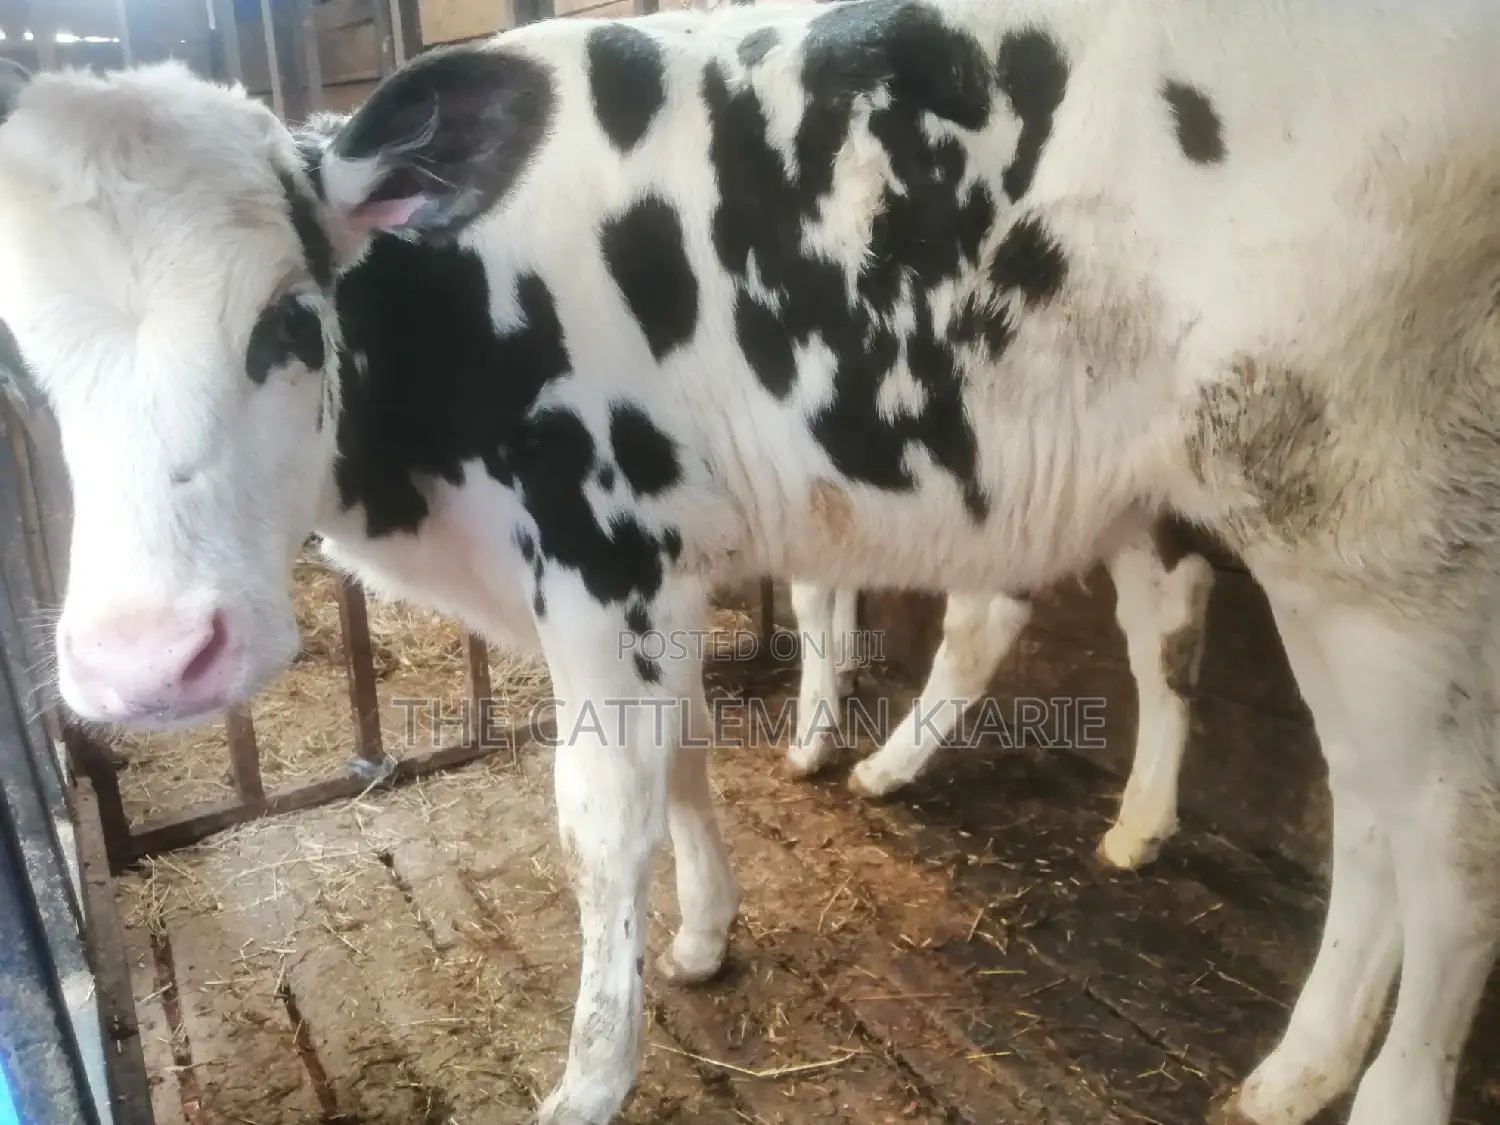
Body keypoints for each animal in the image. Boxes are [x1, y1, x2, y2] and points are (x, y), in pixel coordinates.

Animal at [0, 2, 1497, 1123]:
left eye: (287, 316)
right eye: (21, 361)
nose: (145, 659)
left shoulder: (597, 555)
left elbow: (600, 821)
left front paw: (592, 1077)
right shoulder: (655, 570)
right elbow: (685, 756)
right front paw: (707, 936)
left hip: (1384, 540)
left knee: (1444, 843)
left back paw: (1379, 1089)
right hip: (1264, 527)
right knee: (1333, 776)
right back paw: (1281, 1042)